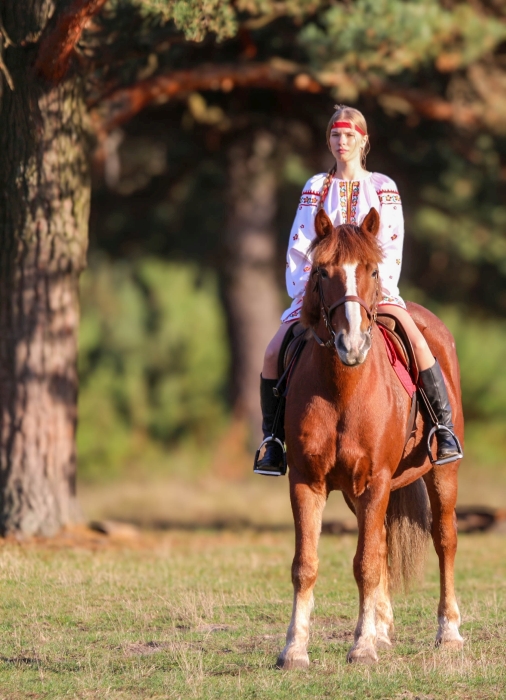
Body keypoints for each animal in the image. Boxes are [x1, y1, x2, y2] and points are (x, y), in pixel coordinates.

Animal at [277, 207, 464, 668]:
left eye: (374, 270)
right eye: (321, 271)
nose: (352, 343)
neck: (343, 388)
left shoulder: (376, 481)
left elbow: (364, 564)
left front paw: (361, 647)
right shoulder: (307, 482)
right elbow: (306, 564)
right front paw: (295, 648)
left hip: (441, 475)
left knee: (444, 540)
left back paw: (448, 632)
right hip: (355, 493)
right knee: (379, 546)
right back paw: (381, 628)